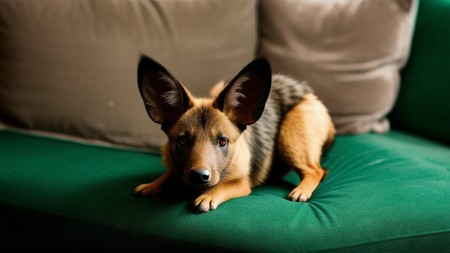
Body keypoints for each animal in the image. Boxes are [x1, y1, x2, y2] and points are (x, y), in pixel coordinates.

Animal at [134, 55, 334, 213]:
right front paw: (153, 184)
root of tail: (311, 96)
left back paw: (302, 190)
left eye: (223, 142)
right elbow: (170, 174)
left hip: (289, 139)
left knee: (315, 170)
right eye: (182, 141)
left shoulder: (242, 183)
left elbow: (223, 185)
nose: (199, 176)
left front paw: (209, 195)